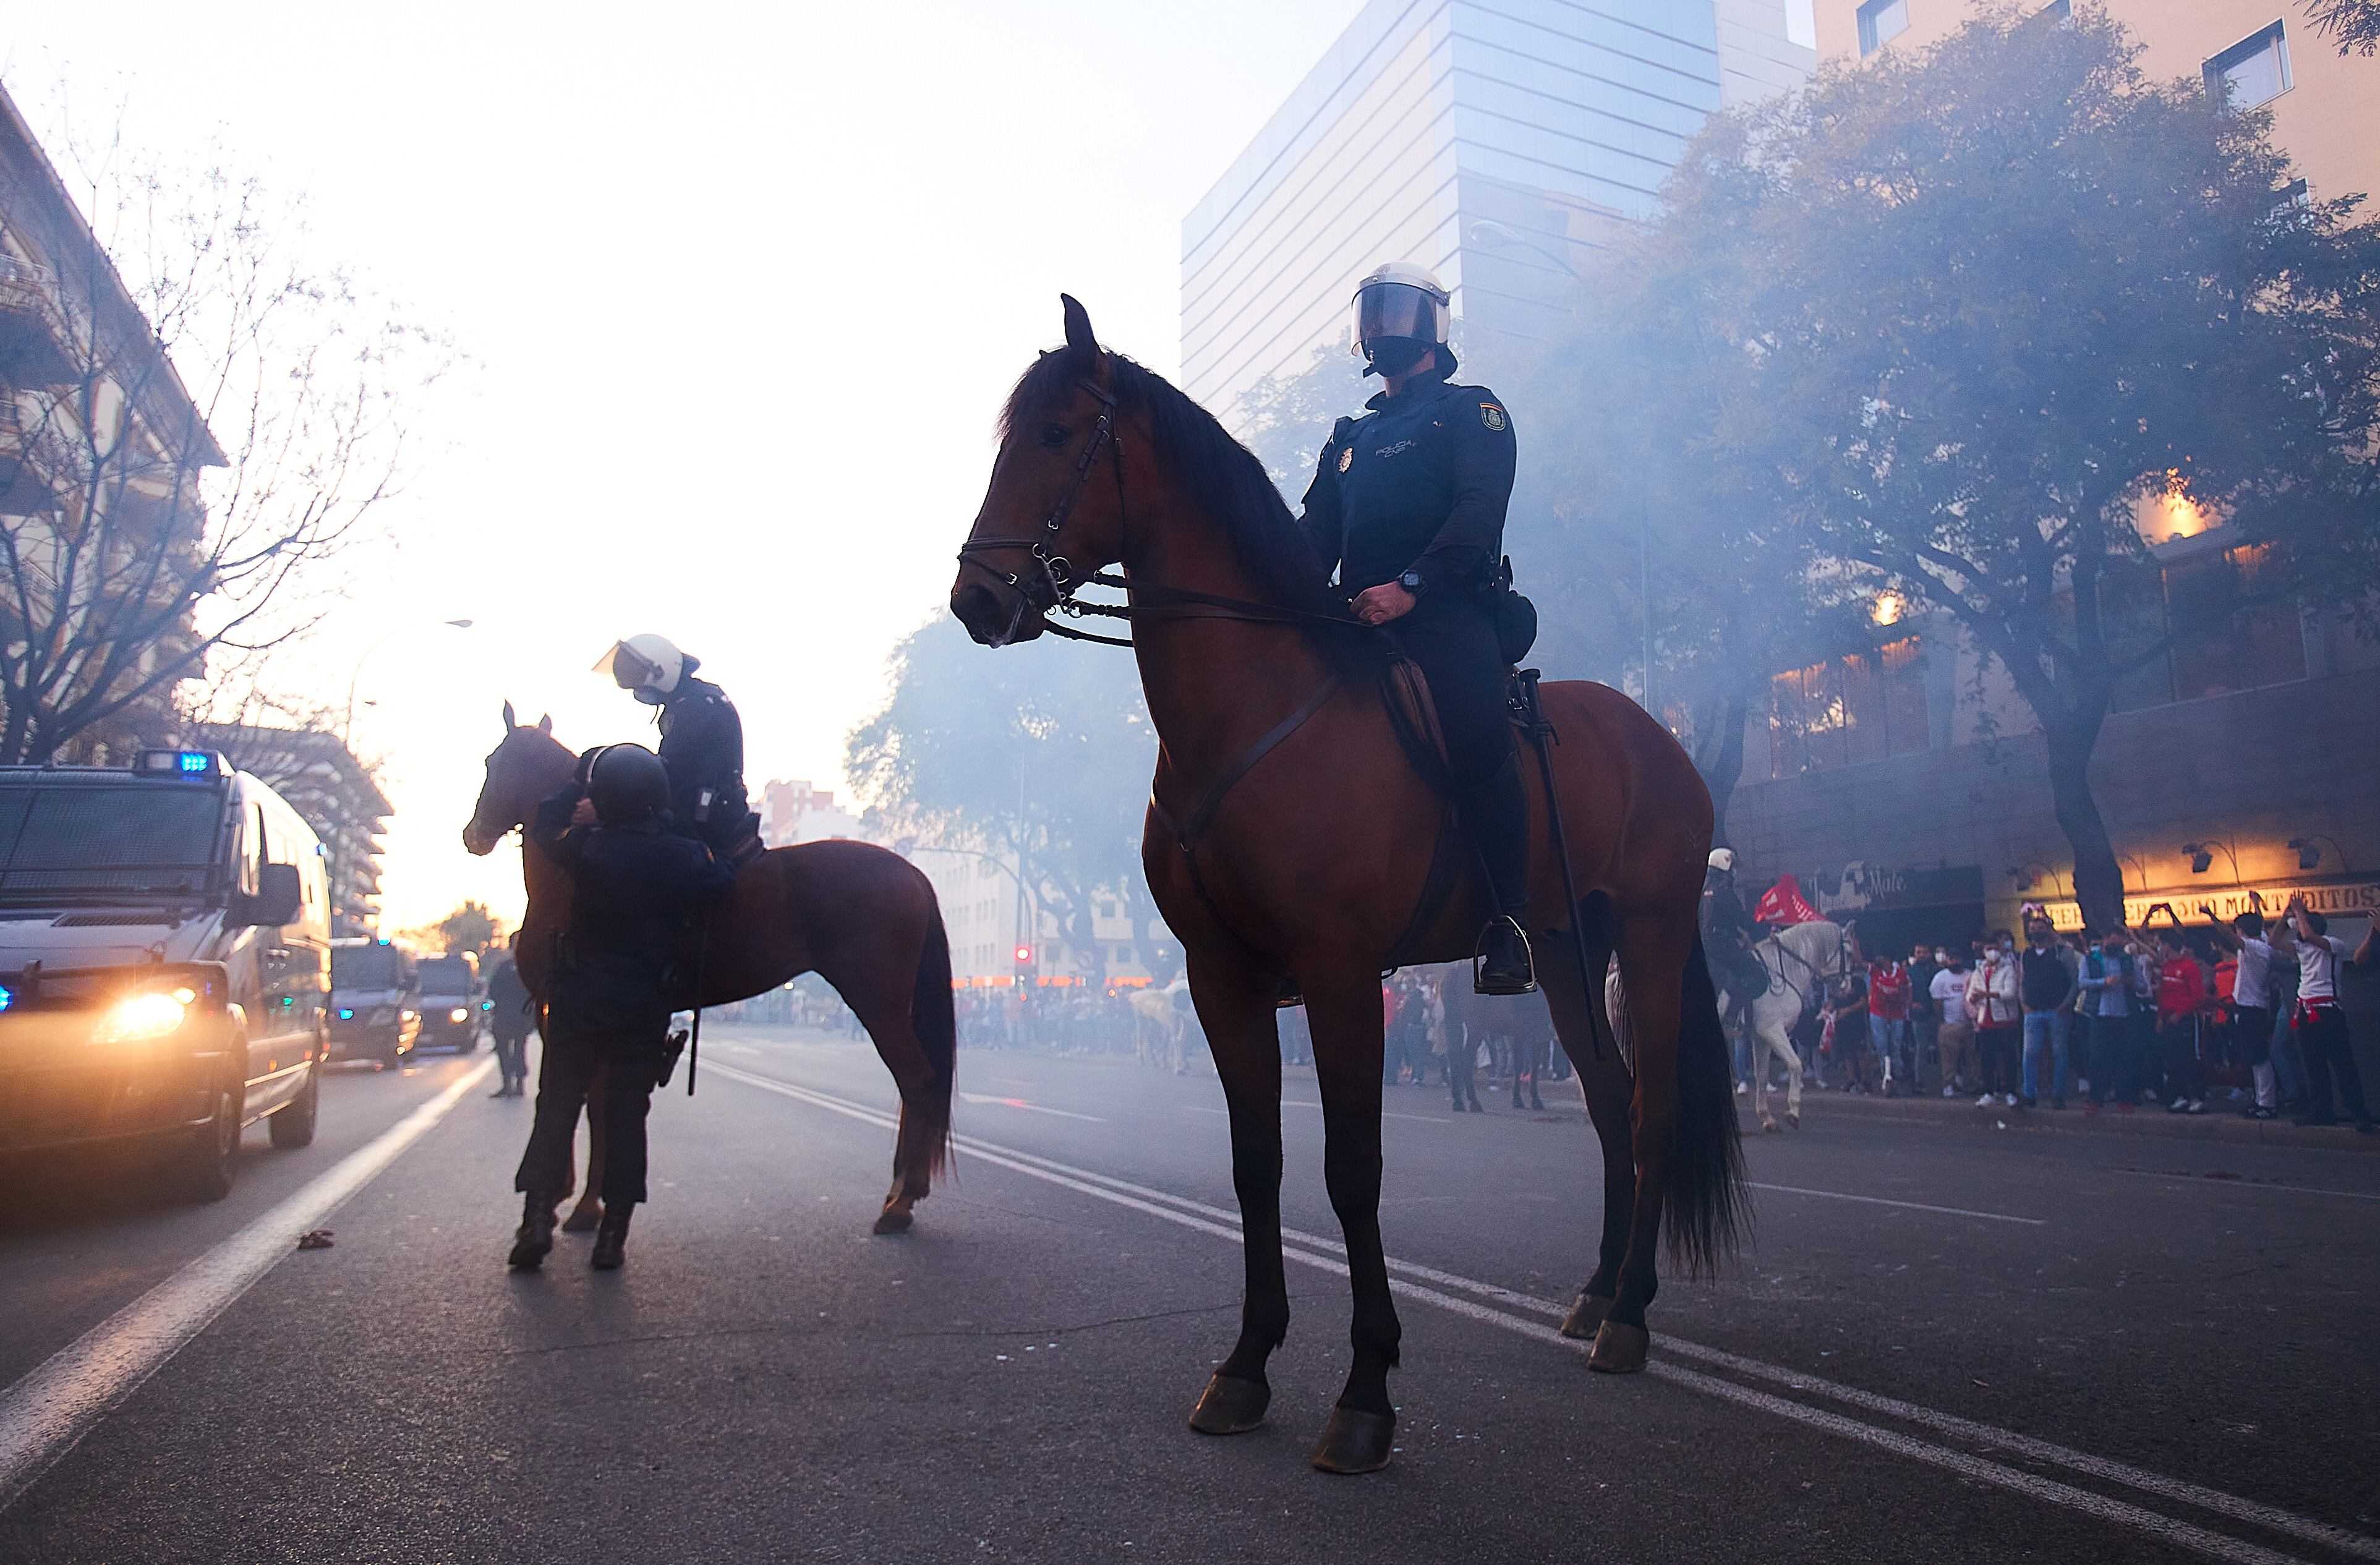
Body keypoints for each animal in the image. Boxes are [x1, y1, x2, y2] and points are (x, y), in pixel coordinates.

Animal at [459, 699, 952, 1227]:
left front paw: (577, 1201)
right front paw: (572, 1194)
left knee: (917, 1080)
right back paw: (902, 1190)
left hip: (878, 1004)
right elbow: (585, 1097)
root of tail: (912, 871)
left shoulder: (571, 1010)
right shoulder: (571, 1014)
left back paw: (901, 1201)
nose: (473, 836)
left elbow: (583, 1098)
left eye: (495, 763)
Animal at [947, 296, 1751, 1474]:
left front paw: (1365, 1389)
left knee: (1649, 1108)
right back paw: (1596, 1291)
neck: (1251, 710)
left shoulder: (1338, 974)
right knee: (1608, 1099)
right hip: (1565, 947)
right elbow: (1256, 1163)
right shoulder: (1221, 975)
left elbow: (1351, 1168)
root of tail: (1659, 735)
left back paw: (1632, 1315)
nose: (977, 597)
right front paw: (1246, 1364)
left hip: (1647, 937)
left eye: (1054, 436)